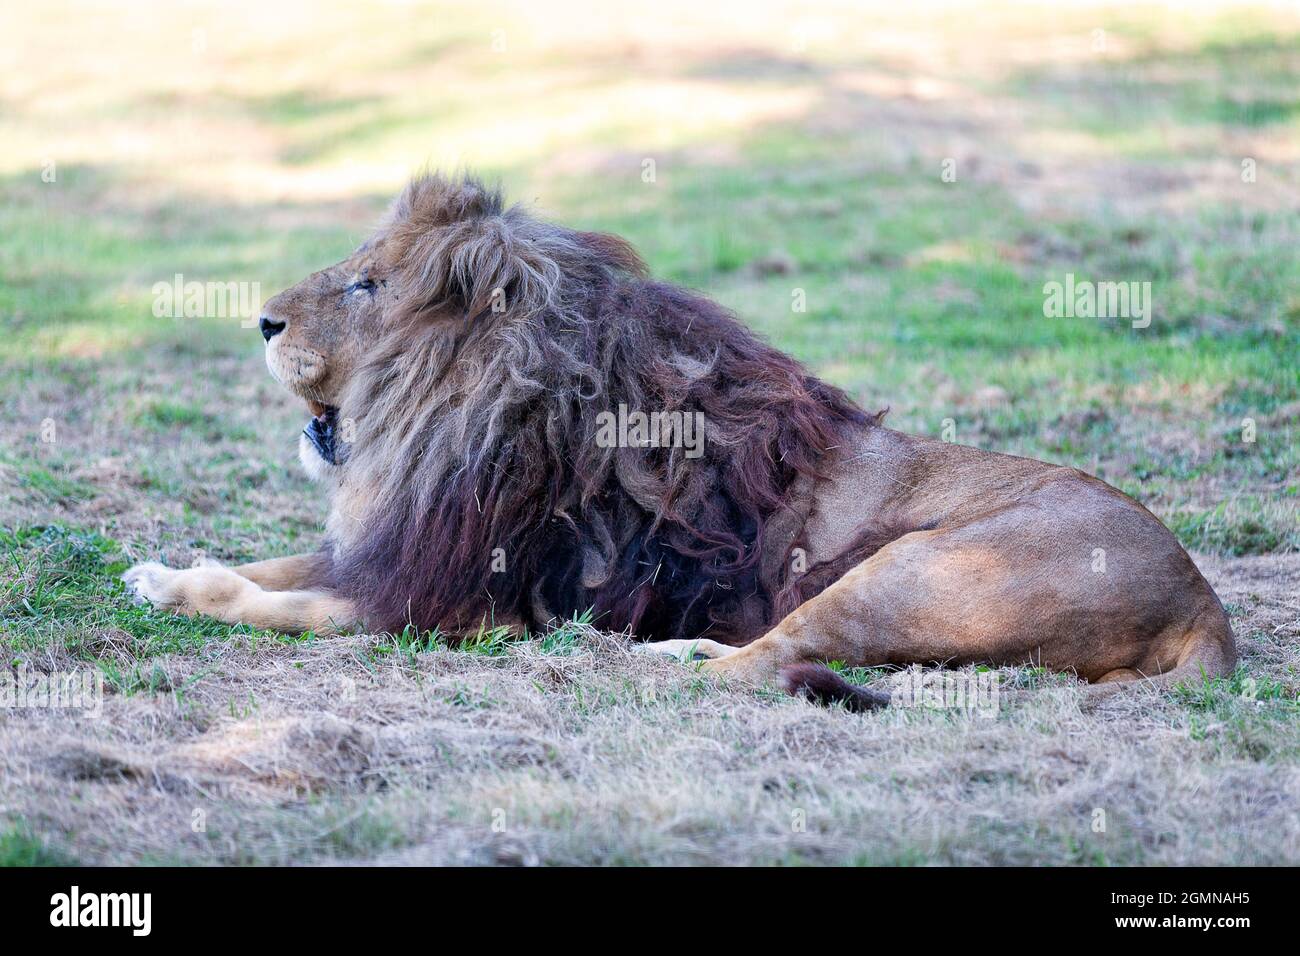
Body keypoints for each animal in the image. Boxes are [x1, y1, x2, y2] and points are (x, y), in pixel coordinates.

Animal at [124, 174, 1237, 712]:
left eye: (364, 285)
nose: (262, 321)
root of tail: (1203, 602)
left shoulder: (451, 602)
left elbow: (273, 598)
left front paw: (185, 590)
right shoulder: (395, 548)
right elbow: (270, 562)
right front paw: (157, 569)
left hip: (913, 569)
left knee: (771, 660)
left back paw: (641, 663)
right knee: (778, 646)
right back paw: (677, 644)